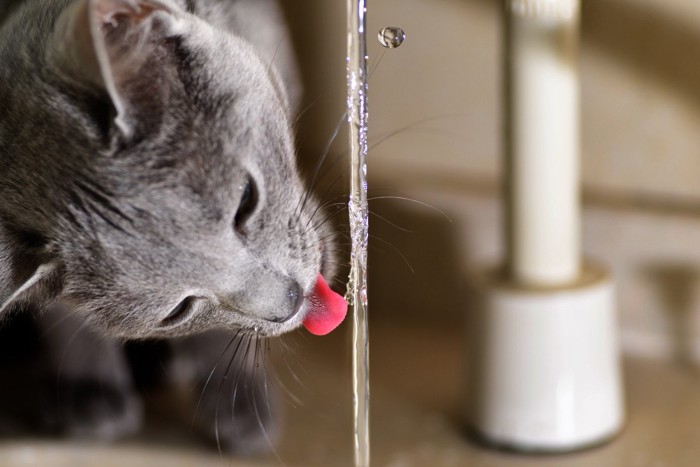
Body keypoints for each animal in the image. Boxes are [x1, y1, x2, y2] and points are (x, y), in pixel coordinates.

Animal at [0, 0, 348, 456]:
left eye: (245, 200)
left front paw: (238, 399)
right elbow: (63, 315)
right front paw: (89, 388)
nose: (288, 302)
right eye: (178, 310)